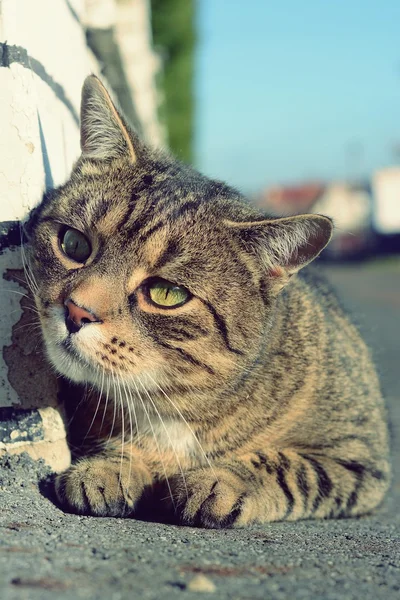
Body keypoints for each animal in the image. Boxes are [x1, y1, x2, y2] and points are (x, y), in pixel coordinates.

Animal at [25, 74, 390, 524]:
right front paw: (110, 466)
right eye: (74, 244)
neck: (172, 410)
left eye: (166, 294)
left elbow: (290, 467)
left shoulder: (359, 456)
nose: (76, 311)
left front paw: (221, 481)